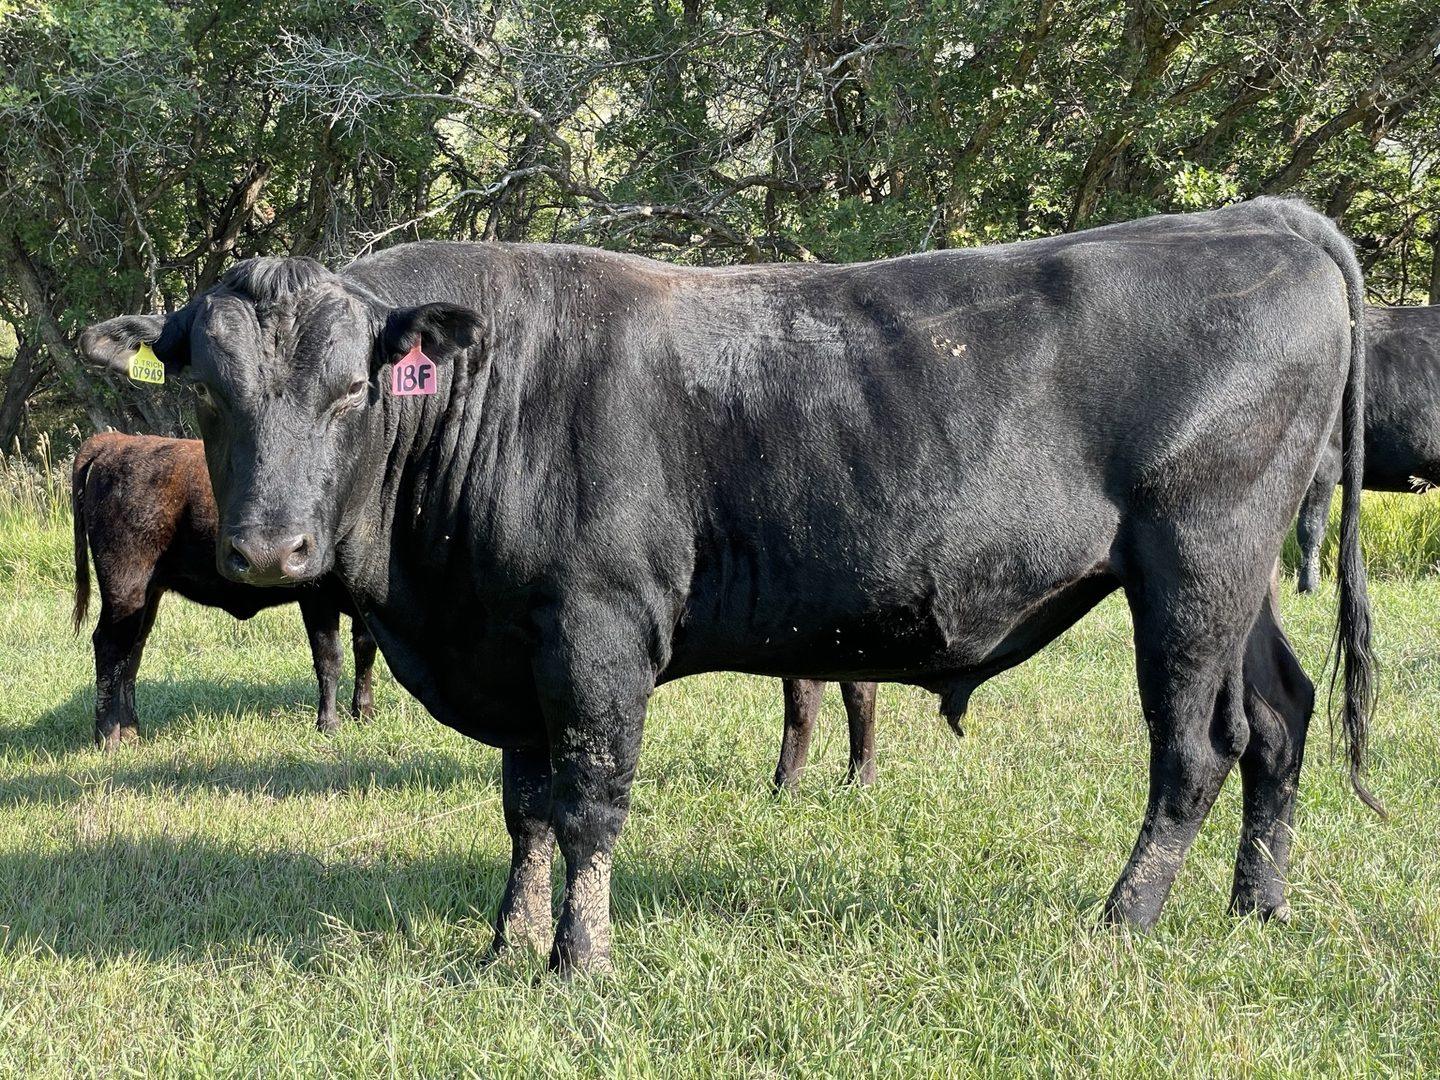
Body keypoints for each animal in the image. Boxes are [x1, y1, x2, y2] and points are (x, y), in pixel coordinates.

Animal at [71, 433, 376, 749]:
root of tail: (117, 441)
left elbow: (364, 651)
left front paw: (364, 714)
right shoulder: (317, 598)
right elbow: (330, 659)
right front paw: (328, 725)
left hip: (147, 596)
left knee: (132, 653)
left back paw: (131, 733)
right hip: (124, 589)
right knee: (110, 647)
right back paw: (108, 739)